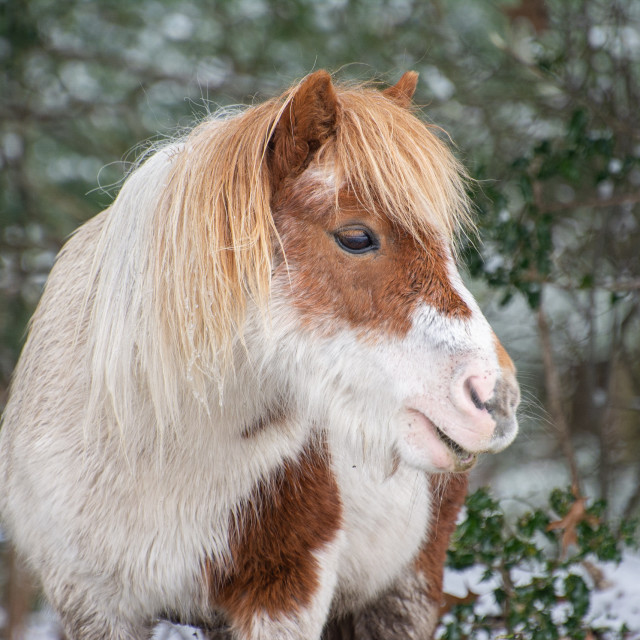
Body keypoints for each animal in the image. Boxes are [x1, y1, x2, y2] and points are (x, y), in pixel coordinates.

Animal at [0, 71, 516, 640]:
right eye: (356, 237)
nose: (495, 398)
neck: (145, 442)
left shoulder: (285, 591)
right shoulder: (88, 601)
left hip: (406, 591)